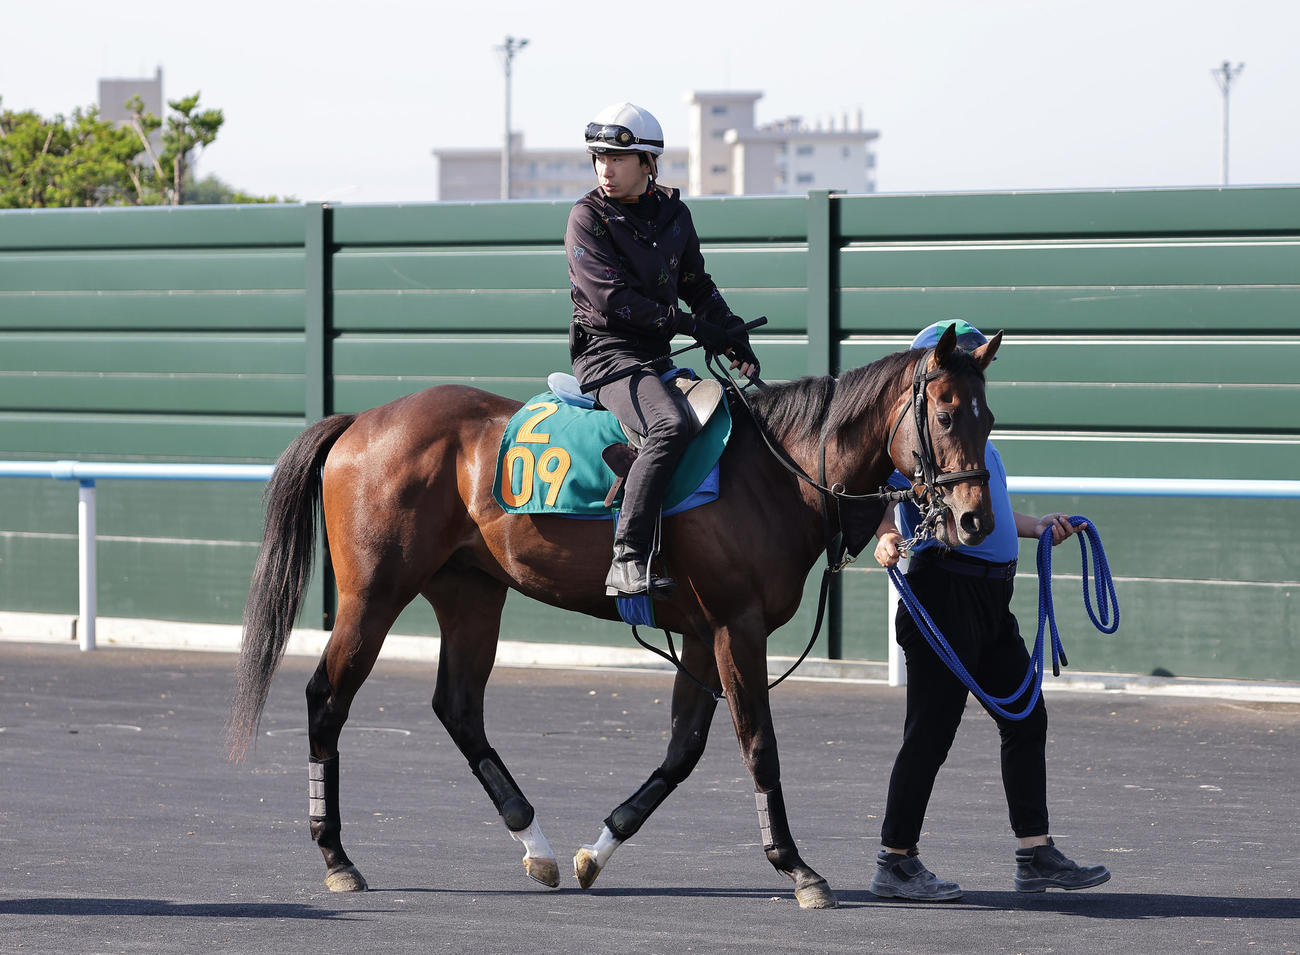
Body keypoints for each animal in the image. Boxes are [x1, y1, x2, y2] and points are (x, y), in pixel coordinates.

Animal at [226, 323, 1001, 909]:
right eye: (943, 414)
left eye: (988, 417)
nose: (972, 519)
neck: (777, 473)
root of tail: (361, 421)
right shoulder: (736, 626)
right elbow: (758, 744)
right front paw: (796, 866)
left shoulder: (700, 636)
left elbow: (684, 749)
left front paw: (599, 848)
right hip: (374, 596)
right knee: (326, 700)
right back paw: (336, 855)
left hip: (471, 593)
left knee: (459, 707)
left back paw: (533, 840)